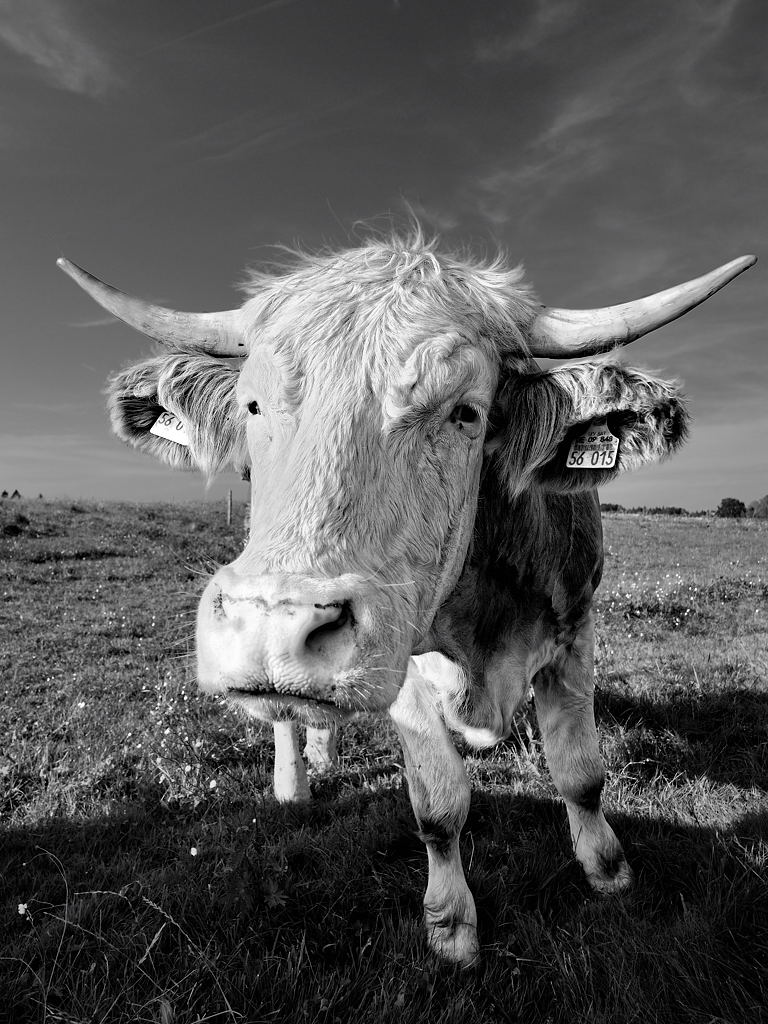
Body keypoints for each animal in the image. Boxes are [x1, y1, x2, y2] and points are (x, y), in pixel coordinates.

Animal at [58, 231, 755, 964]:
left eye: (467, 412)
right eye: (252, 406)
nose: (273, 627)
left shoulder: (575, 628)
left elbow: (581, 773)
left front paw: (608, 869)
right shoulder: (410, 667)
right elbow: (439, 806)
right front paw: (451, 924)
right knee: (287, 716)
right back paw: (293, 781)